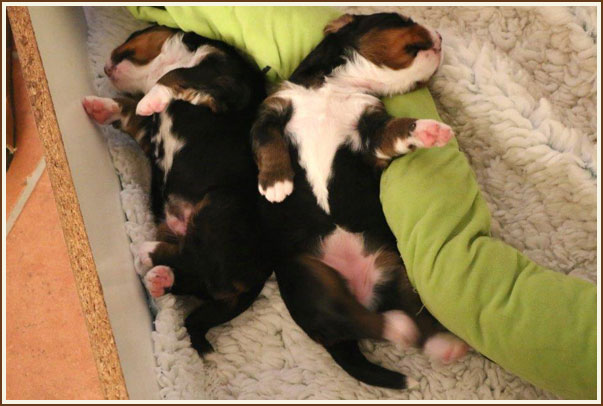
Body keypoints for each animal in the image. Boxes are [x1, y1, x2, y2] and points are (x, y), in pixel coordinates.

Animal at [83, 25, 271, 354]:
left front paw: (148, 99)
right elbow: (128, 112)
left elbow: (175, 76)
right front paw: (100, 106)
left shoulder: (226, 75)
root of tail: (256, 280)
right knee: (194, 275)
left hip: (219, 204)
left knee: (195, 263)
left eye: (134, 34)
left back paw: (144, 253)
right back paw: (159, 276)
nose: (105, 68)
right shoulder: (147, 133)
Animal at [250, 13, 468, 389]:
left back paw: (438, 343)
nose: (440, 36)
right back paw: (404, 331)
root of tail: (359, 288)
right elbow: (268, 141)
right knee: (350, 318)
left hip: (392, 271)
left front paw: (429, 130)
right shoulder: (272, 109)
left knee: (398, 320)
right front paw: (276, 183)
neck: (336, 85)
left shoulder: (372, 132)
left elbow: (399, 129)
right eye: (403, 18)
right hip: (307, 276)